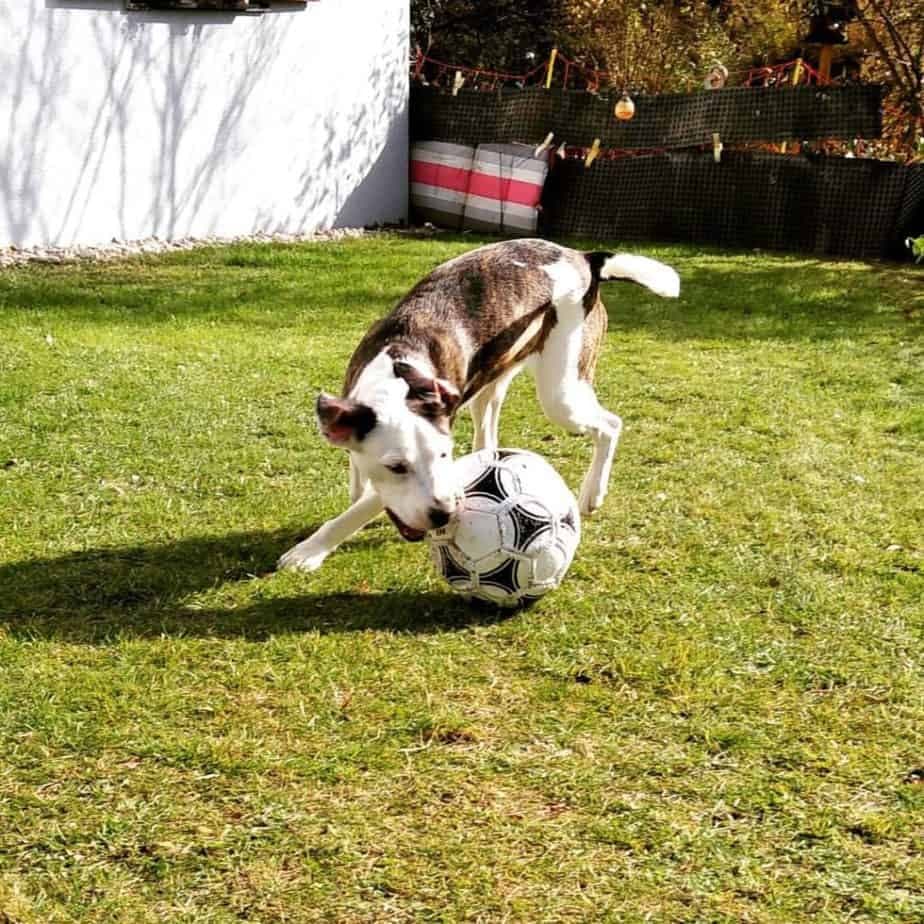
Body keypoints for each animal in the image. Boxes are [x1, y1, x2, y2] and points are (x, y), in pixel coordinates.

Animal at [276, 238, 680, 572]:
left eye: (442, 456)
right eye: (396, 467)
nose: (446, 514)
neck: (399, 371)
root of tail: (583, 257)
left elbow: (361, 507)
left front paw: (310, 550)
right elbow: (358, 483)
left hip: (560, 394)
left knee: (610, 424)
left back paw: (593, 492)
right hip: (495, 378)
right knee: (489, 434)